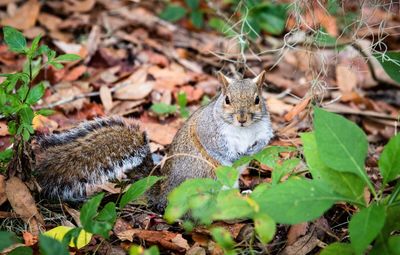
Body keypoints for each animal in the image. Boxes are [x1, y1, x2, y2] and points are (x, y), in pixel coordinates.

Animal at [33, 70, 276, 210]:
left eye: (257, 100)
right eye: (227, 99)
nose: (242, 118)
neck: (244, 131)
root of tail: (163, 194)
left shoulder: (264, 129)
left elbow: (263, 142)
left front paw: (252, 150)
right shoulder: (210, 132)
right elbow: (219, 149)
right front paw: (236, 155)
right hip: (206, 176)